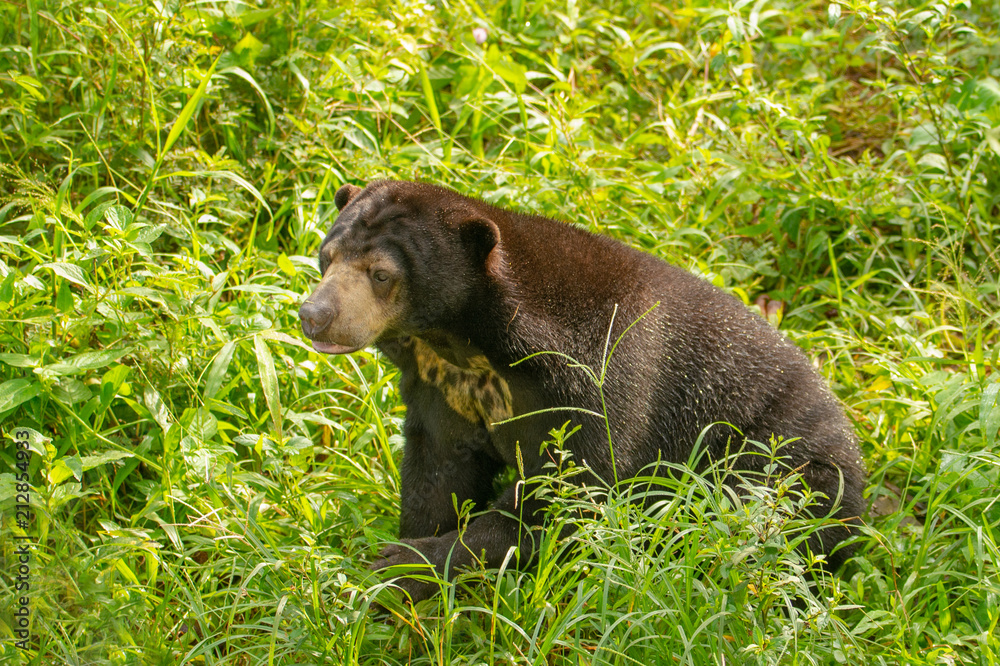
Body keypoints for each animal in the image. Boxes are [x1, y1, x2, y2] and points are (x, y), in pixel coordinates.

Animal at [298, 179, 866, 603]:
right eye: (326, 256)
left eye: (381, 275)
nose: (314, 316)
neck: (468, 345)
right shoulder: (443, 388)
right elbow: (439, 466)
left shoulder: (595, 380)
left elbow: (568, 491)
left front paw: (407, 563)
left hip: (783, 471)